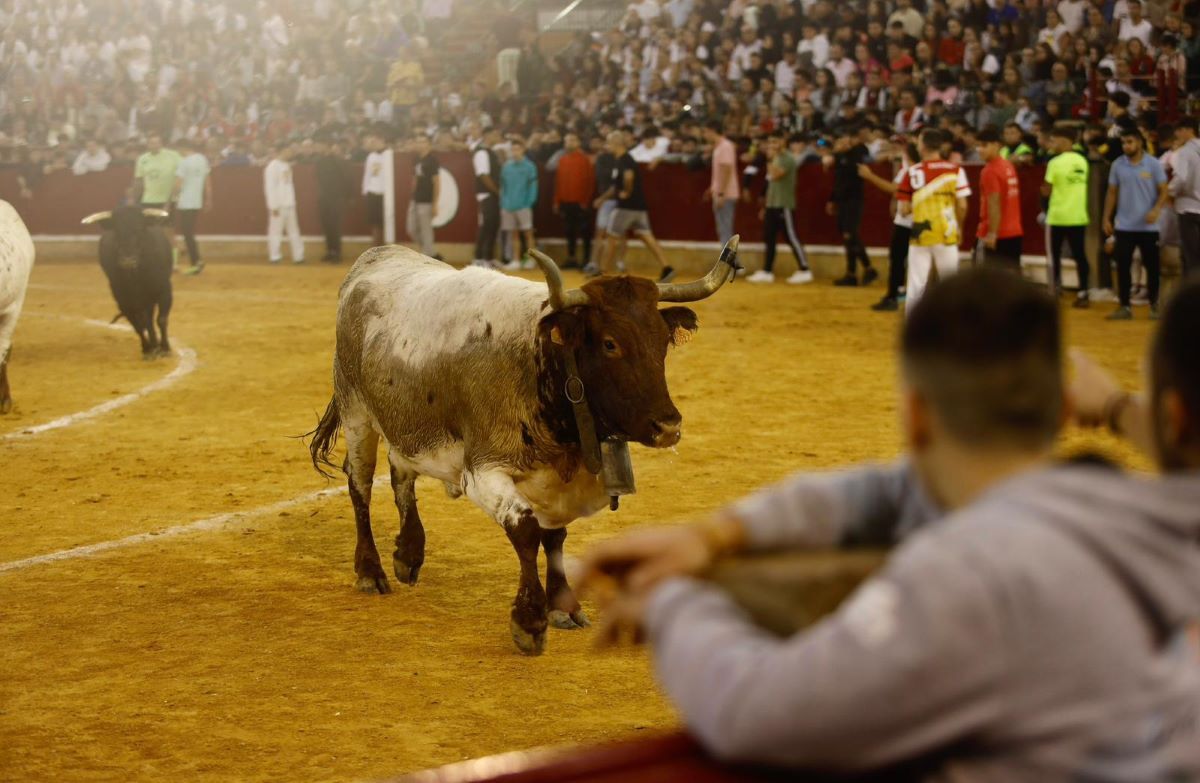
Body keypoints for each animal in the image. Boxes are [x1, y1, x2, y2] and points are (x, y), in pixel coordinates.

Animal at [309, 240, 734, 653]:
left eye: (662, 341)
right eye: (610, 343)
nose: (668, 426)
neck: (541, 358)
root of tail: (375, 256)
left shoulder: (557, 478)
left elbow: (555, 536)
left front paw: (564, 607)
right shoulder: (483, 471)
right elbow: (527, 531)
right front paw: (529, 620)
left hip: (405, 423)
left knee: (400, 472)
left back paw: (408, 553)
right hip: (356, 412)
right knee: (360, 485)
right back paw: (370, 570)